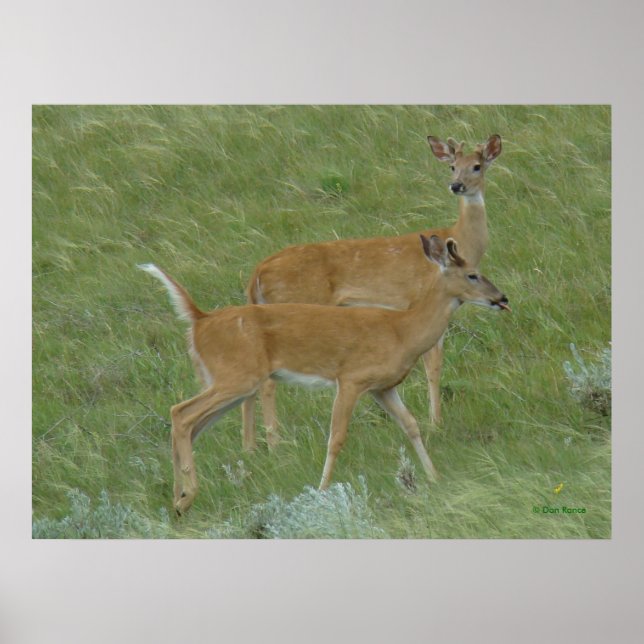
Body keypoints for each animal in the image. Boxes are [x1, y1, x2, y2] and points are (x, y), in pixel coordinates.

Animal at [139, 234, 509, 514]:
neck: (402, 331)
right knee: (181, 413)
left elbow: (411, 426)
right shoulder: (351, 378)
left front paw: (434, 477)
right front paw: (322, 489)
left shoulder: (383, 387)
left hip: (230, 382)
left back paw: (178, 498)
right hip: (237, 376)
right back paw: (187, 497)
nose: (502, 298)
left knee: (187, 423)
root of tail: (200, 320)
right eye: (473, 274)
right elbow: (337, 437)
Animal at [244, 135, 502, 449]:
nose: (457, 185)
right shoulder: (421, 301)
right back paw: (274, 442)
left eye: (477, 166)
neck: (460, 239)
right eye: (453, 166)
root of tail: (257, 272)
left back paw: (251, 447)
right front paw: (436, 423)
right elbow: (434, 365)